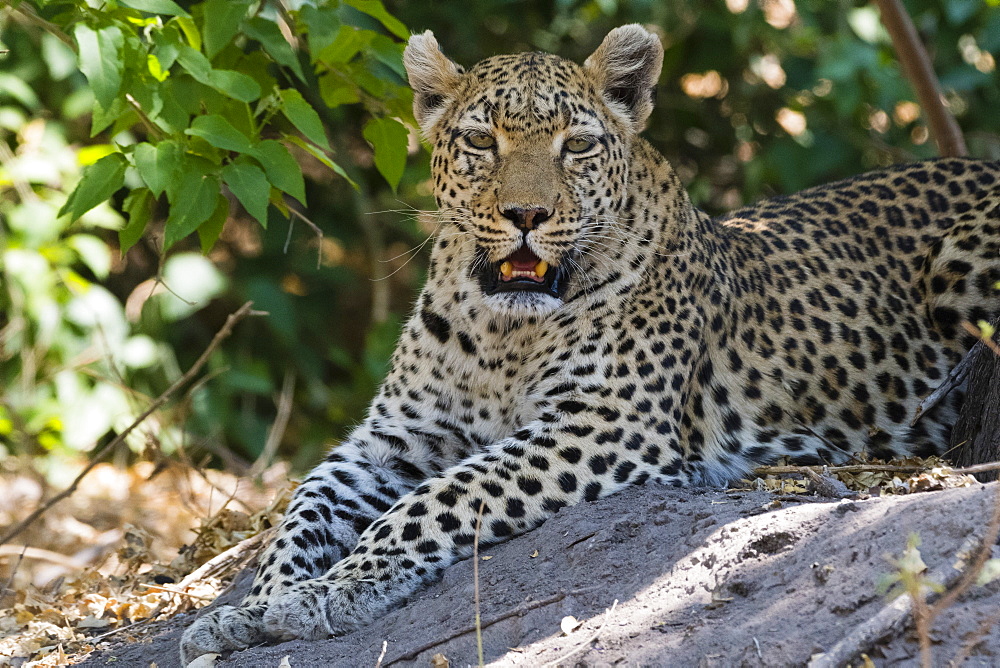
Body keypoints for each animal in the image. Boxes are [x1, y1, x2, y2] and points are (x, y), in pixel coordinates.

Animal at [180, 24, 1000, 664]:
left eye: (575, 146)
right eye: (481, 141)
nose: (526, 214)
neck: (503, 331)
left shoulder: (605, 422)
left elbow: (438, 498)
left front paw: (331, 592)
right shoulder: (398, 435)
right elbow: (306, 503)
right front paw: (257, 606)